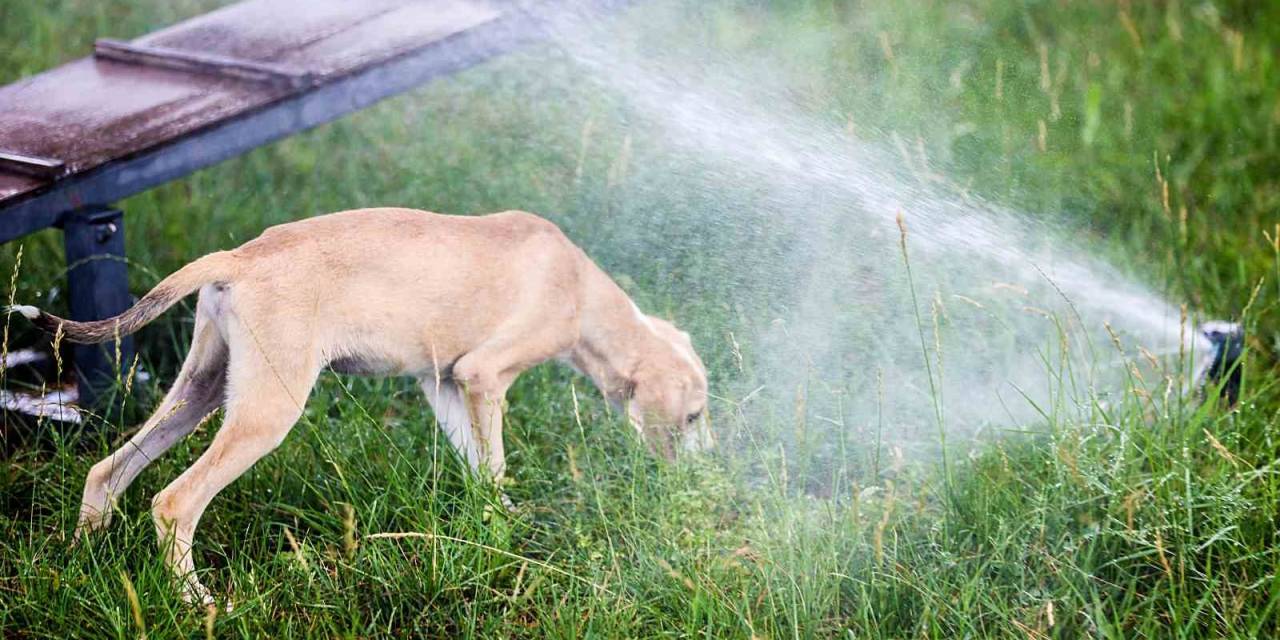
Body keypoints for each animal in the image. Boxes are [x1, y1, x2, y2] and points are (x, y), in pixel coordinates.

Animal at [12, 208, 711, 604]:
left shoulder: (446, 384)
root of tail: (238, 257)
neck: (583, 290)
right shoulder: (485, 376)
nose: (701, 478)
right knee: (174, 501)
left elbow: (483, 473)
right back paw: (193, 598)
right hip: (266, 412)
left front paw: (500, 530)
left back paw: (76, 560)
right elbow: (497, 462)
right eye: (696, 416)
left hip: (202, 392)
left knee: (107, 472)